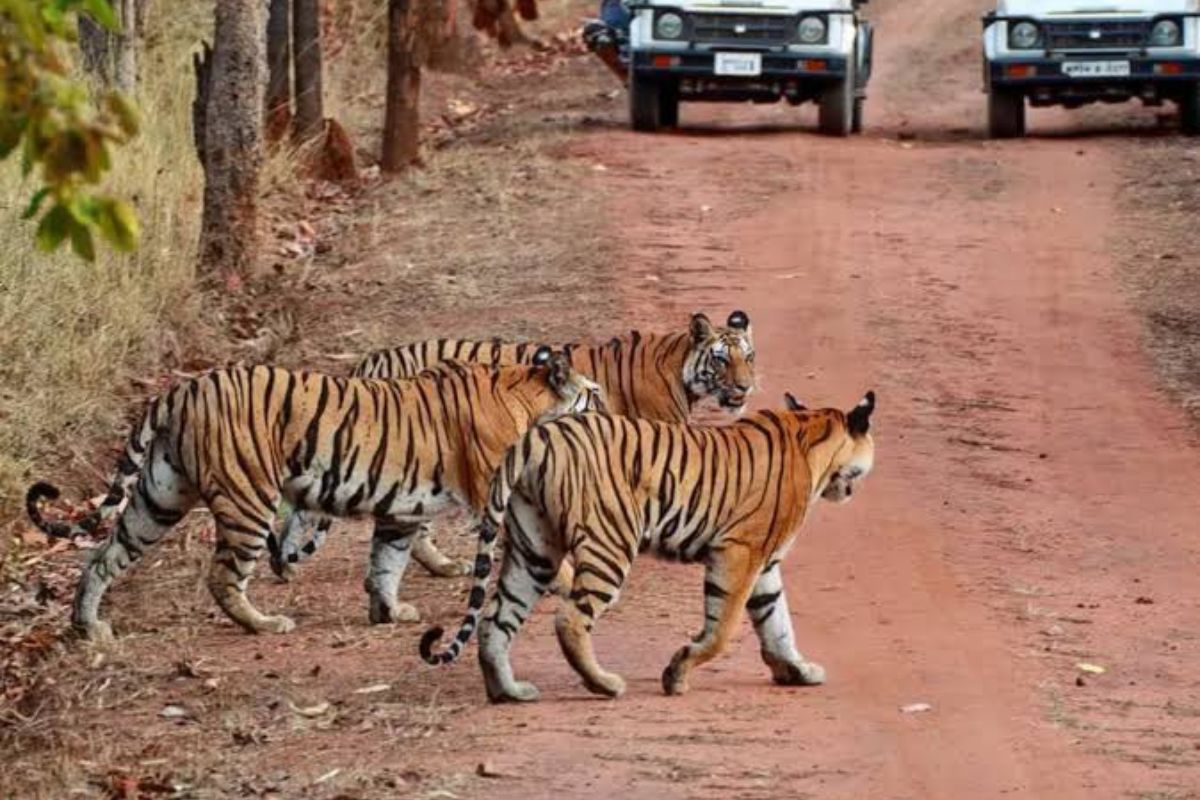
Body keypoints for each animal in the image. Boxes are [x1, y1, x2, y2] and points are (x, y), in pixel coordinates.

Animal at [25, 347, 609, 642]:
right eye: (596, 395)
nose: (613, 416)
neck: (526, 395)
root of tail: (181, 389)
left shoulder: (401, 511)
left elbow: (386, 563)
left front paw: (388, 612)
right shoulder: (496, 495)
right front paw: (569, 583)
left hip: (160, 496)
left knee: (104, 556)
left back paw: (88, 626)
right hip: (248, 499)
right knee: (223, 575)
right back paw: (263, 624)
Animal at [417, 391, 878, 705]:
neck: (811, 433)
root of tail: (538, 435)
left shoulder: (764, 563)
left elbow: (777, 621)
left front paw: (797, 670)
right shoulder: (739, 552)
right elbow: (722, 629)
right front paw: (676, 675)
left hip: (535, 548)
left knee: (496, 619)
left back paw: (508, 691)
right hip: (610, 543)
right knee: (569, 618)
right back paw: (604, 684)